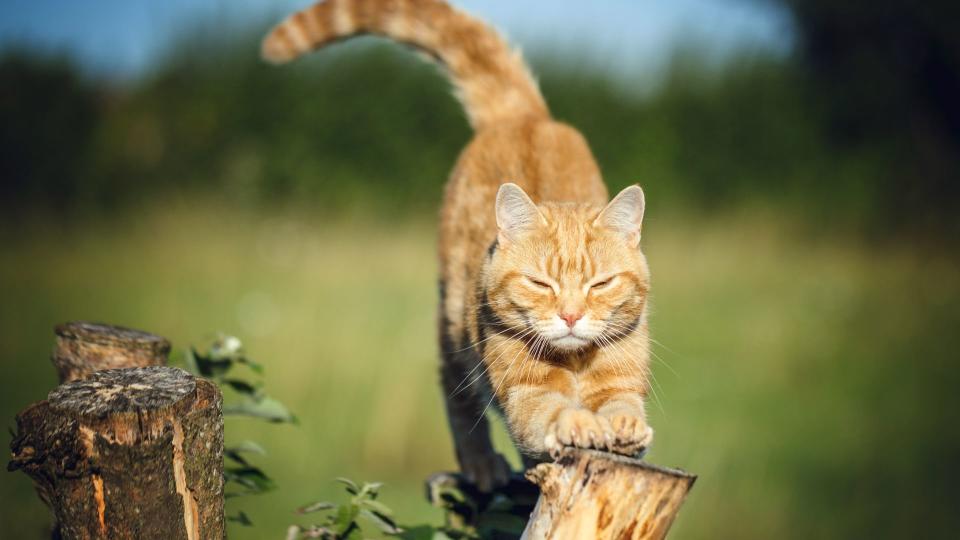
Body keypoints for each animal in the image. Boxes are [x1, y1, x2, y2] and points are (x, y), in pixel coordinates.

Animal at [260, 0, 652, 492]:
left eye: (600, 284)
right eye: (540, 284)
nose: (570, 316)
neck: (576, 359)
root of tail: (522, 118)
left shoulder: (622, 381)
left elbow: (622, 404)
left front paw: (624, 426)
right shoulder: (526, 391)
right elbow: (550, 411)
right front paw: (578, 424)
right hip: (452, 326)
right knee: (456, 394)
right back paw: (482, 464)